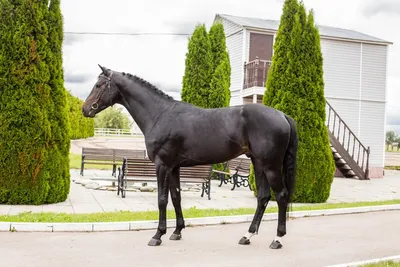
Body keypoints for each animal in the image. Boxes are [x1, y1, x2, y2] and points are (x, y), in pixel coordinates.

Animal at [83, 65, 298, 249]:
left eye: (99, 85)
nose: (85, 109)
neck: (160, 115)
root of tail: (282, 115)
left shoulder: (162, 165)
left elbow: (162, 199)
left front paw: (157, 235)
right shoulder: (174, 167)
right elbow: (176, 196)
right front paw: (177, 231)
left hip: (270, 166)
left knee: (281, 196)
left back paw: (277, 239)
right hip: (258, 163)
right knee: (263, 197)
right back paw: (247, 235)